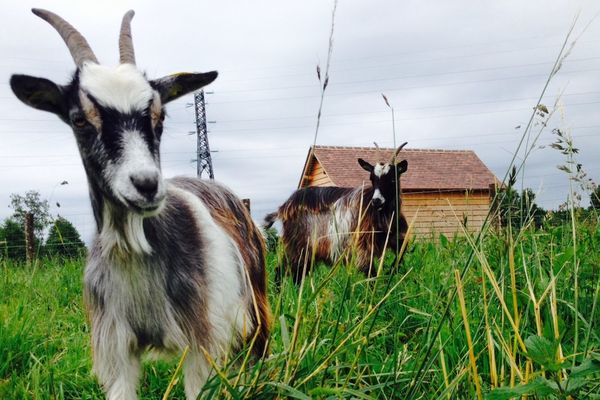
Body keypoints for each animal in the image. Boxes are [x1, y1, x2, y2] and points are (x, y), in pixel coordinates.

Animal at [9, 9, 270, 400]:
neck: (135, 250)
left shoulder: (203, 339)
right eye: (79, 119)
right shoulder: (117, 348)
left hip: (254, 305)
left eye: (160, 116)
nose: (146, 185)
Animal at [266, 144, 410, 282]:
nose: (376, 201)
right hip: (297, 245)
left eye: (393, 179)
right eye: (372, 179)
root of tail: (284, 206)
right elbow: (370, 273)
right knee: (281, 270)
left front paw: (390, 274)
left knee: (297, 274)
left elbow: (399, 258)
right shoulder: (362, 245)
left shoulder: (397, 239)